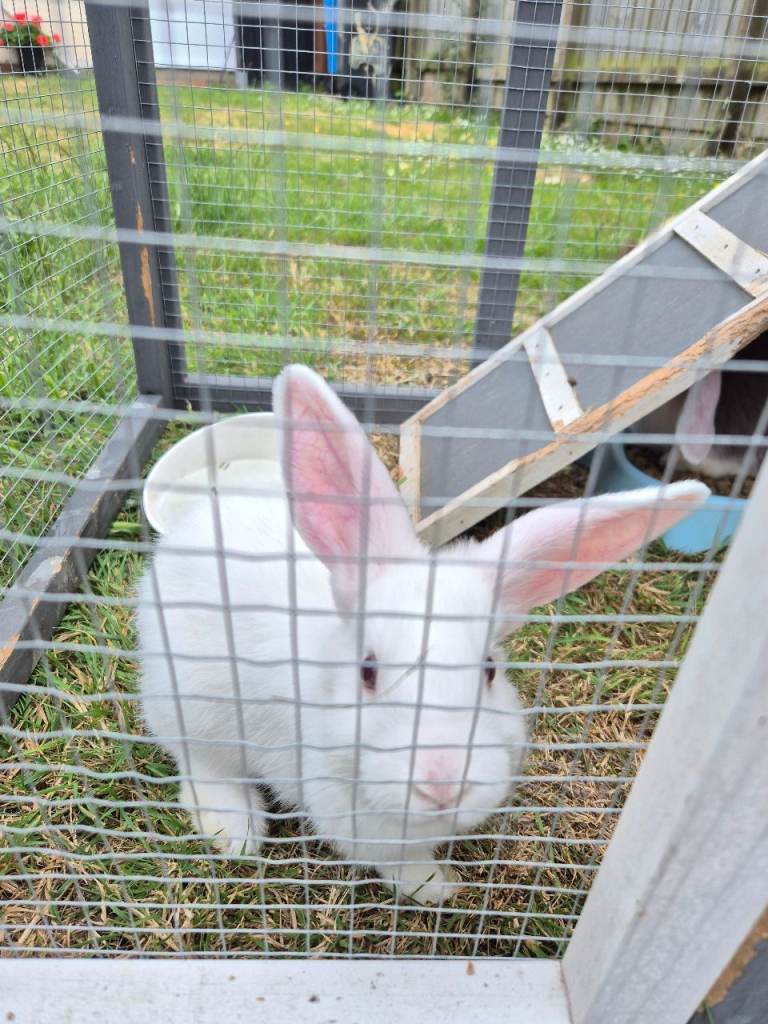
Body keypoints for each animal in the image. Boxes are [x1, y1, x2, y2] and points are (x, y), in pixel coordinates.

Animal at [136, 365, 708, 905]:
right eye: (368, 671)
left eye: (490, 671)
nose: (442, 781)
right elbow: (396, 860)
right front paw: (436, 887)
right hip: (196, 708)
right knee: (201, 766)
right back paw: (235, 832)